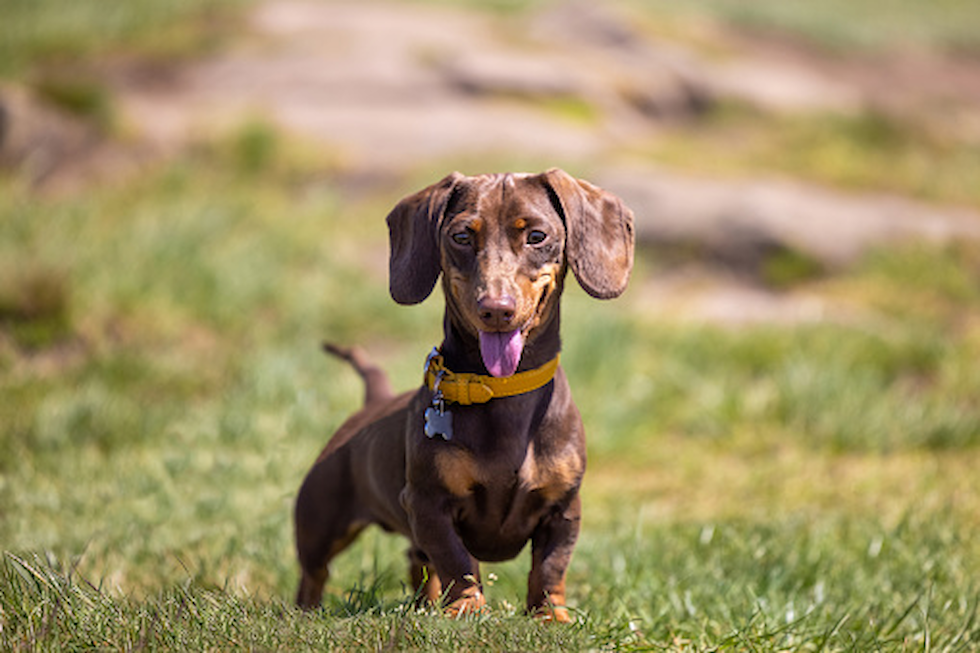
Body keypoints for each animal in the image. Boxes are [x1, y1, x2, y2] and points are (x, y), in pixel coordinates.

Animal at [292, 166, 636, 620]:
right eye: (461, 236)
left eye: (537, 236)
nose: (496, 309)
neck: (503, 390)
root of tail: (373, 402)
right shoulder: (428, 503)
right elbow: (458, 560)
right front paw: (468, 609)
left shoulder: (563, 508)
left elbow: (550, 567)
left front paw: (550, 616)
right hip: (319, 521)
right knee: (314, 573)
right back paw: (307, 611)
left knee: (417, 564)